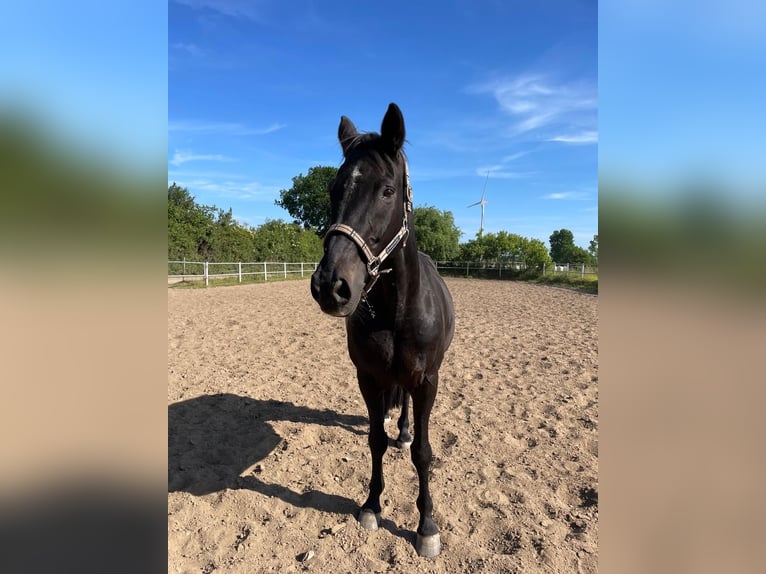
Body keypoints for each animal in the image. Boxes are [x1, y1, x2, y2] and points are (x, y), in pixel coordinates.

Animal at [312, 102, 456, 560]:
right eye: (333, 189)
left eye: (388, 191)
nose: (330, 285)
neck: (397, 310)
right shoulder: (369, 378)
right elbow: (374, 439)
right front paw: (372, 505)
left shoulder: (427, 381)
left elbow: (425, 455)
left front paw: (426, 527)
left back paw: (405, 432)